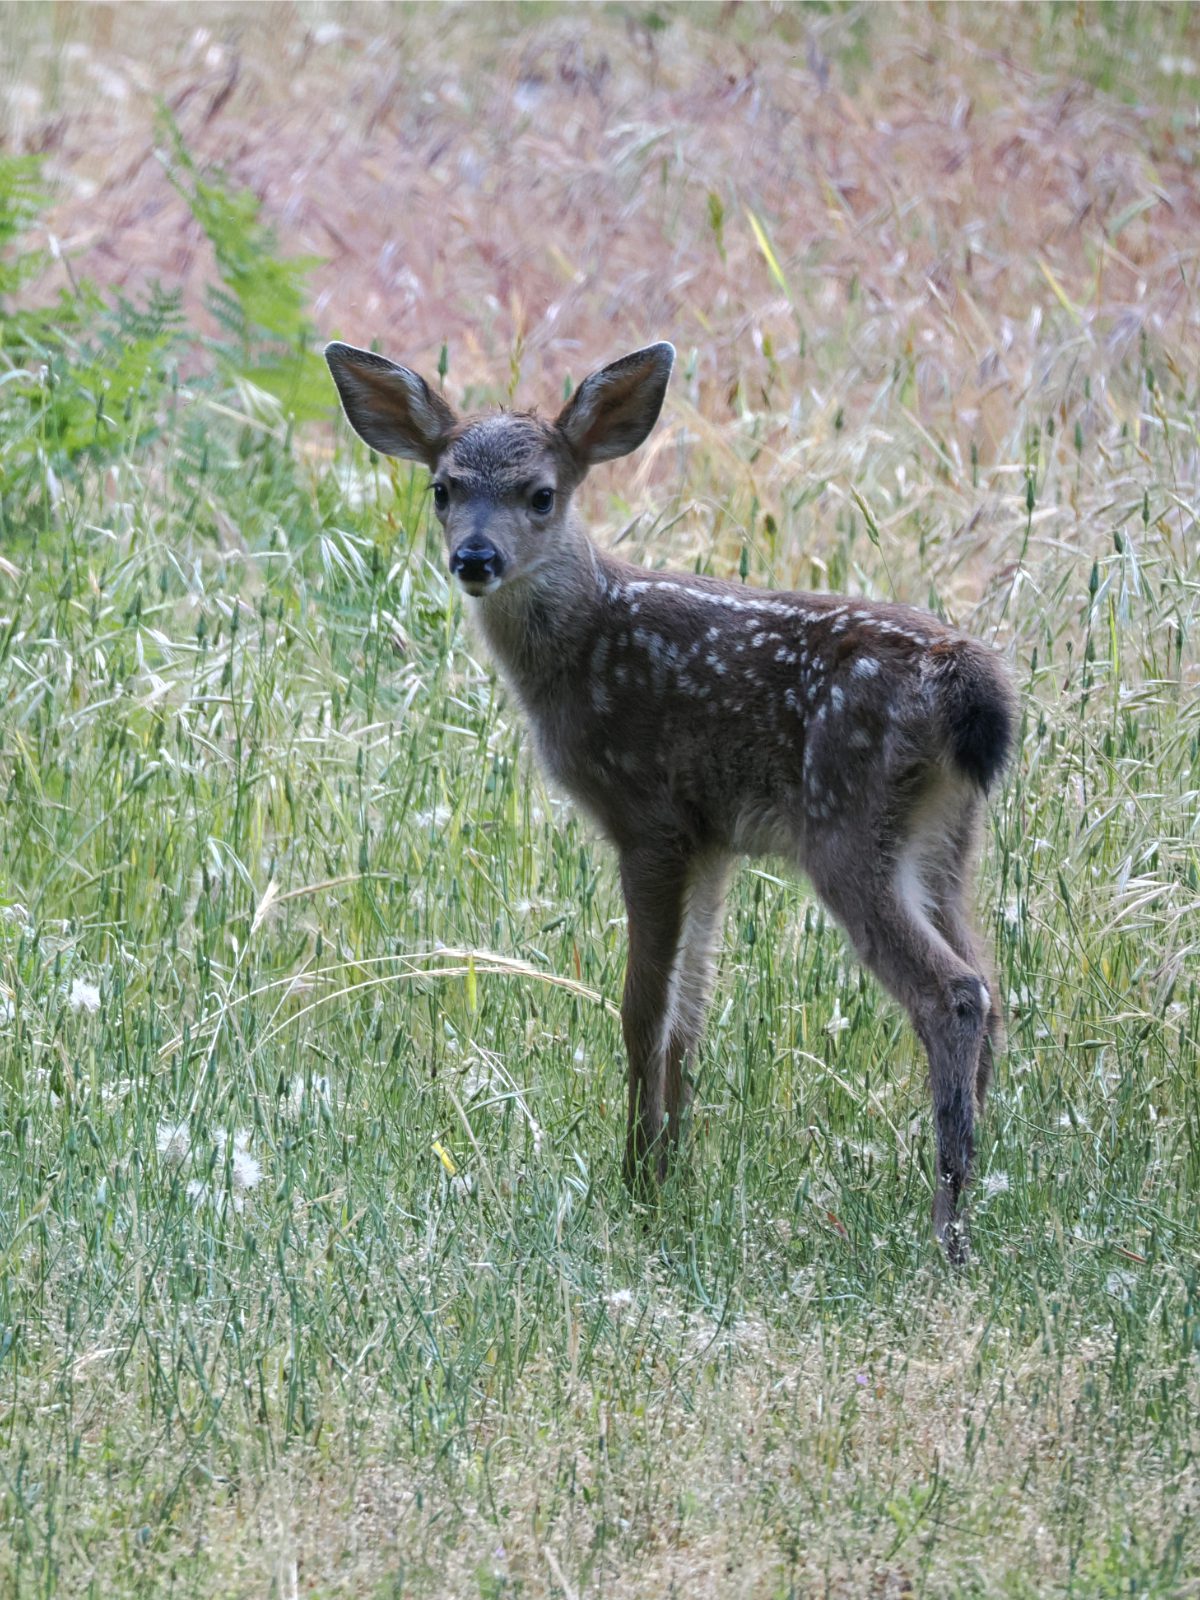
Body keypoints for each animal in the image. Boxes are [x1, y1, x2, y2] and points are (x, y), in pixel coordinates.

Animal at [324, 338, 1015, 1261]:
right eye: (442, 488)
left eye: (541, 494)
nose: (475, 558)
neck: (584, 645)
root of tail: (962, 684)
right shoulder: (710, 836)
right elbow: (690, 1013)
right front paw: (671, 1167)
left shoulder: (646, 819)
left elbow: (641, 1013)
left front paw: (634, 1182)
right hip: (943, 839)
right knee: (992, 983)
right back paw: (977, 1184)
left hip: (846, 825)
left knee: (956, 992)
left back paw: (946, 1224)